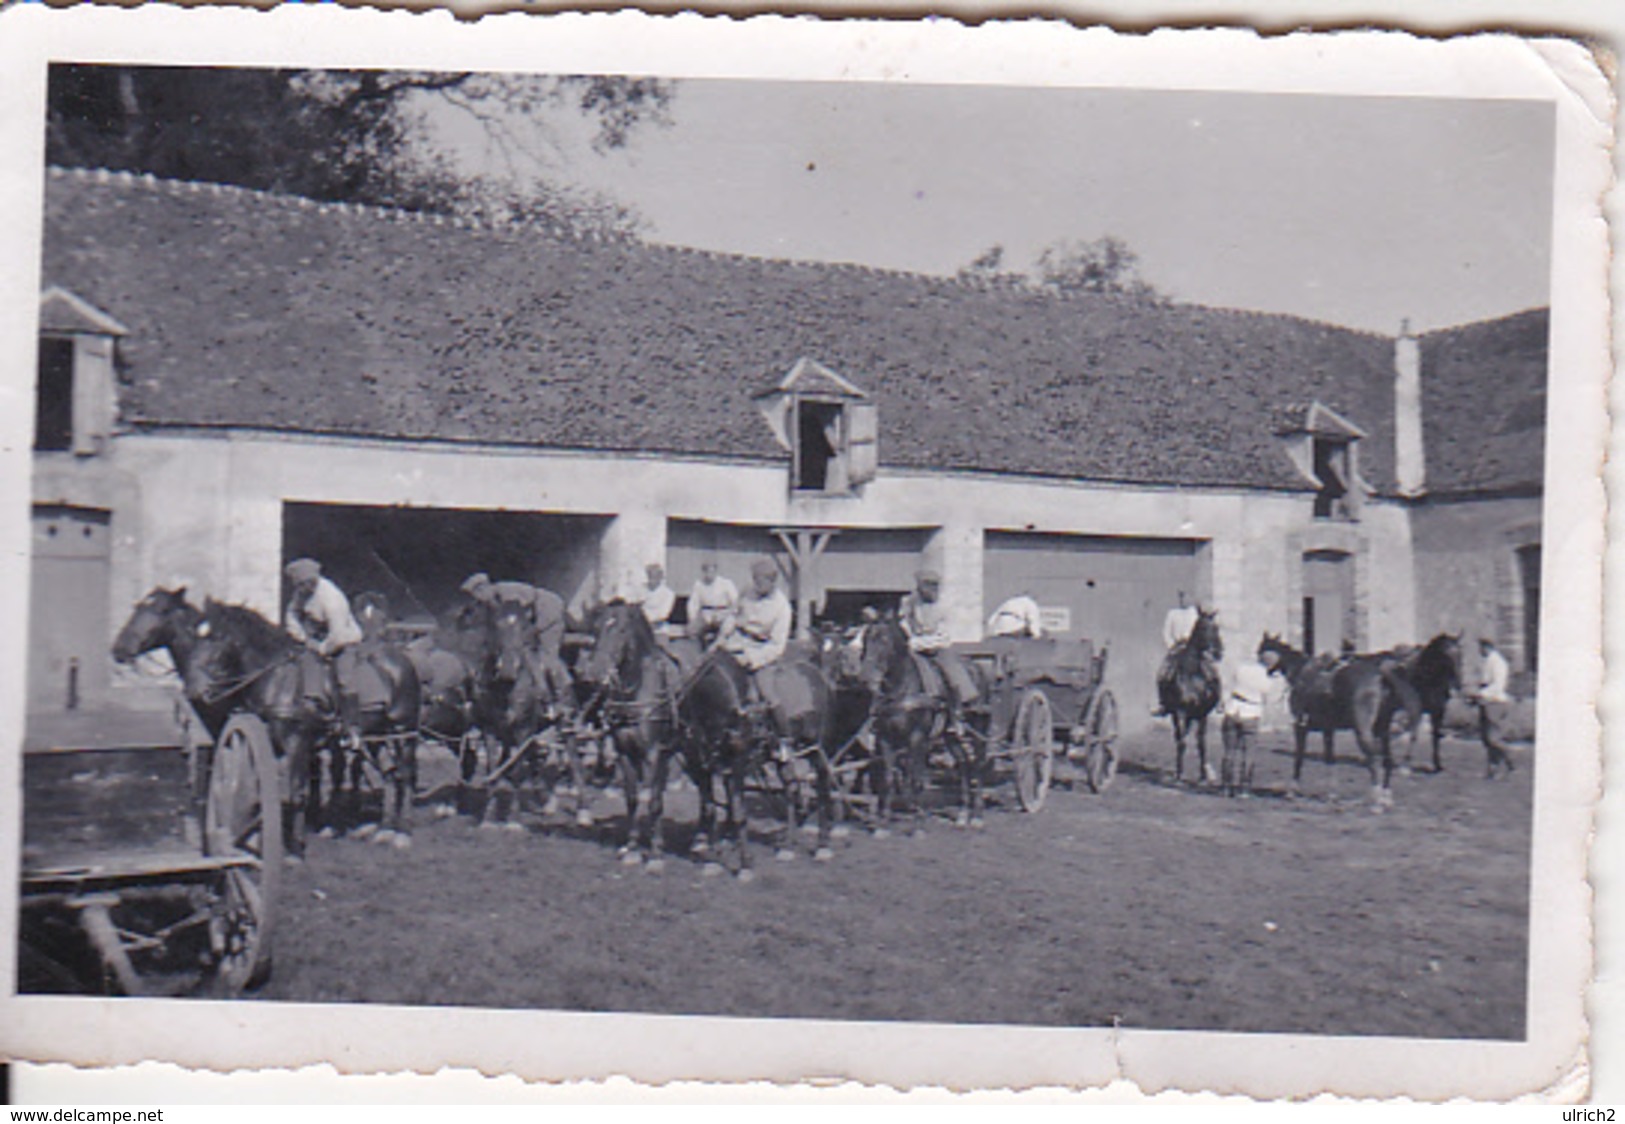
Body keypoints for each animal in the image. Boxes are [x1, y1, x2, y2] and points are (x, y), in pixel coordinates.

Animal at [858, 610, 981, 828]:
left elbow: (914, 780)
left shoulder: (917, 738)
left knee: (974, 763)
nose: (865, 678)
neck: (901, 690)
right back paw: (963, 812)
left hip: (972, 730)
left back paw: (976, 814)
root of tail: (975, 666)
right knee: (963, 763)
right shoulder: (885, 738)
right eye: (865, 639)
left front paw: (917, 823)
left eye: (884, 640)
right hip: (951, 736)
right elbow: (888, 778)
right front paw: (884, 821)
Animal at [1150, 610, 1222, 786]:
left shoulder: (1202, 713)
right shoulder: (1180, 712)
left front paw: (1203, 776)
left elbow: (1201, 743)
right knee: (1179, 737)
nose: (1218, 652)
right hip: (1178, 716)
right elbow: (1182, 742)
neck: (1191, 674)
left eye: (1216, 627)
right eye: (1203, 627)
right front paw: (1179, 775)